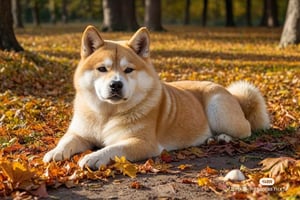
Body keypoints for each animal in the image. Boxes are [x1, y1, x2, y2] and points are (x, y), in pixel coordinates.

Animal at [43, 25, 270, 169]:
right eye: (102, 69)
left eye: (128, 70)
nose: (116, 84)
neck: (106, 115)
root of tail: (229, 93)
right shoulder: (80, 133)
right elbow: (67, 140)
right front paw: (55, 152)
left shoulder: (142, 143)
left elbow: (114, 147)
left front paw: (94, 157)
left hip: (219, 110)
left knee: (247, 129)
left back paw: (223, 137)